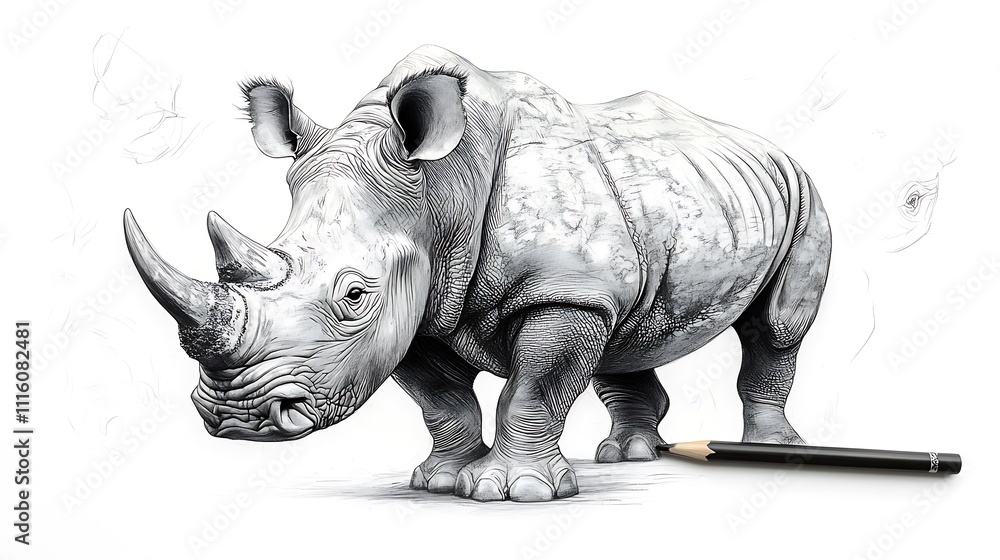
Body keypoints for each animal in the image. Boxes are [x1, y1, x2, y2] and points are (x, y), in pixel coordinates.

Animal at [124, 45, 831, 502]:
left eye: (354, 295)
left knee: (775, 330)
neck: (435, 190)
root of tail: (768, 145)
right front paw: (439, 481)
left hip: (803, 192)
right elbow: (441, 398)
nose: (237, 420)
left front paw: (514, 492)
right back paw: (629, 455)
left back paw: (773, 450)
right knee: (627, 331)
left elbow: (535, 387)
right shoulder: (415, 300)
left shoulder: (560, 294)